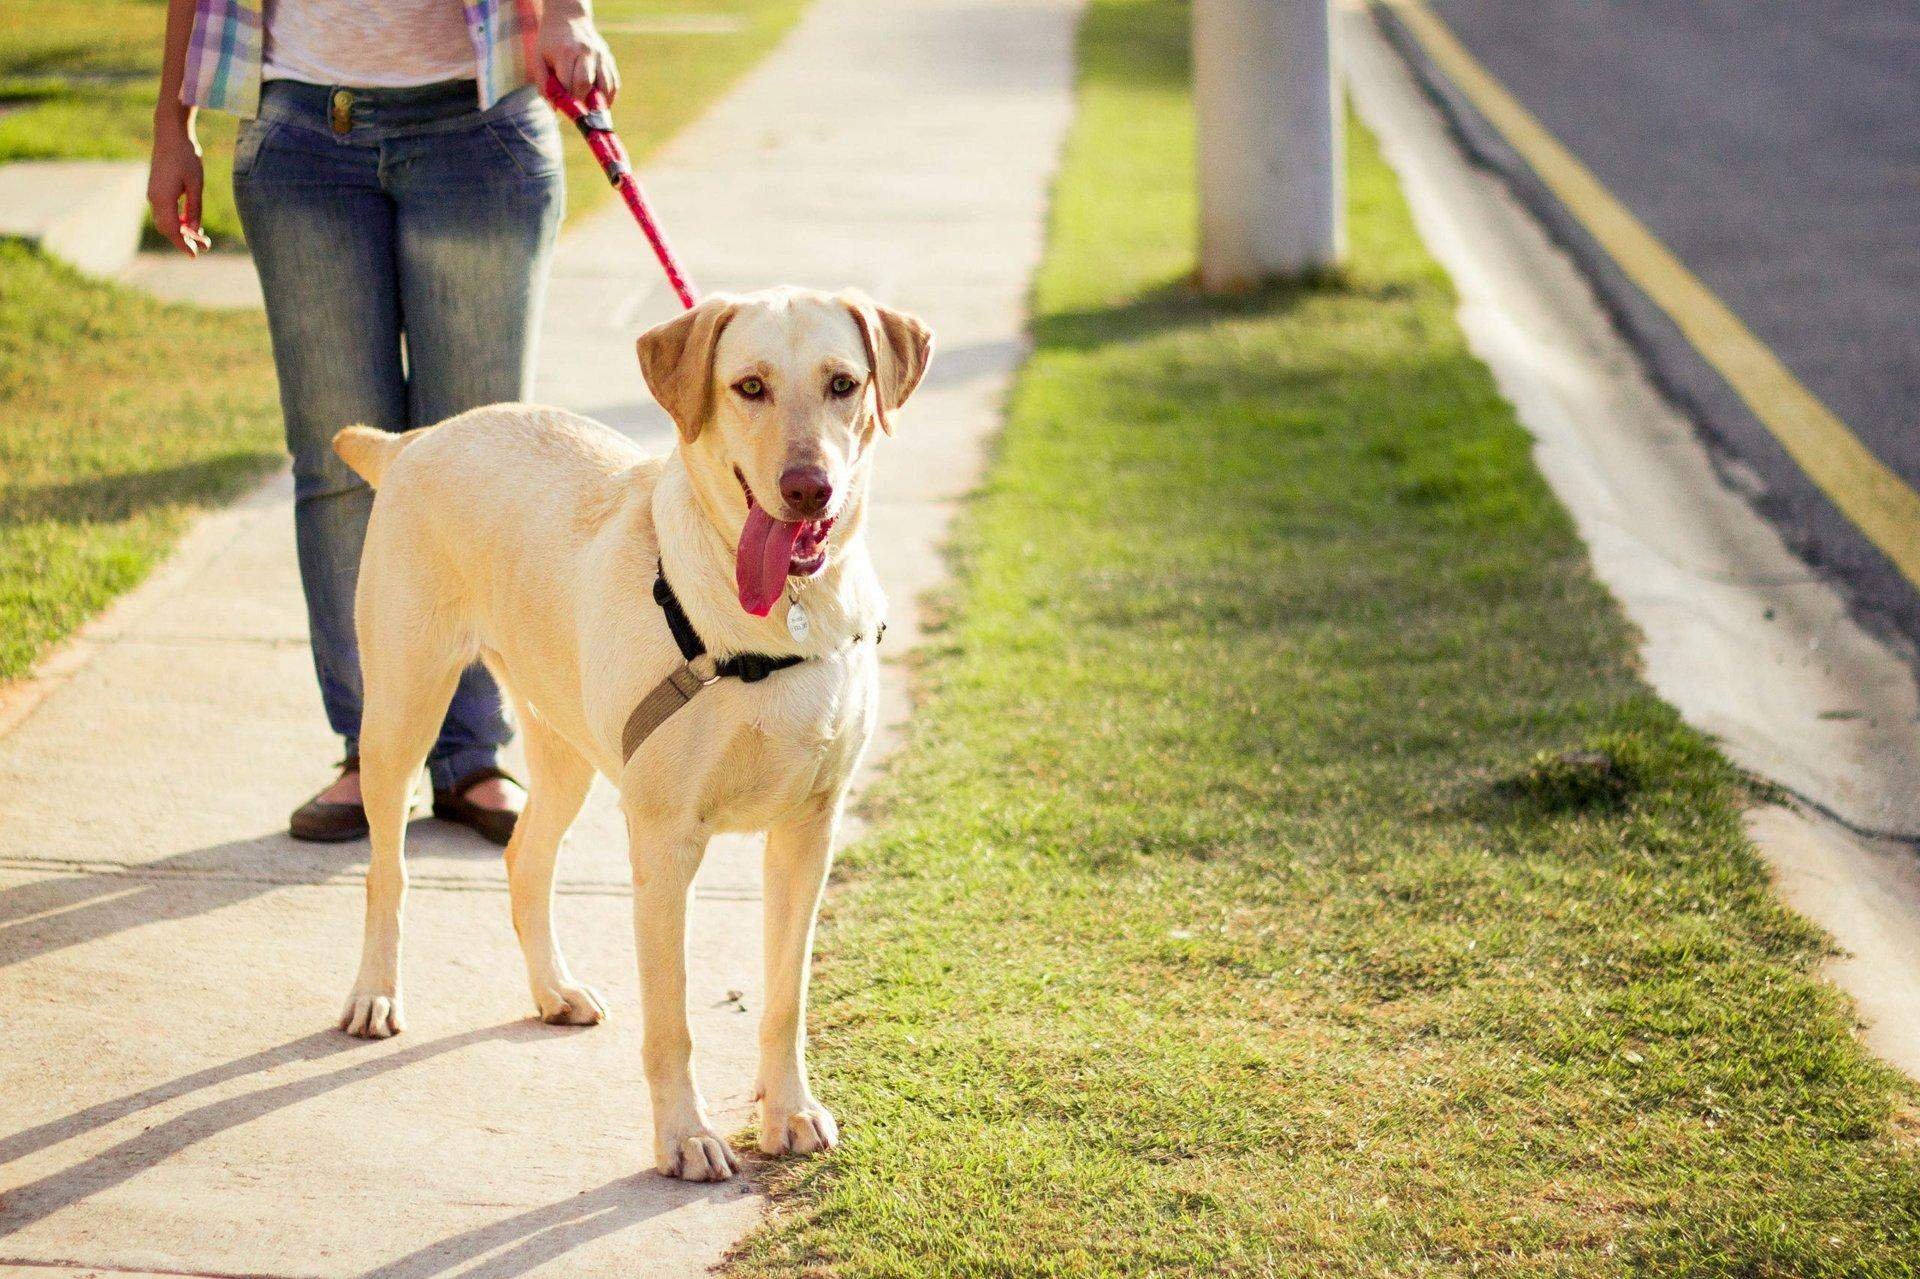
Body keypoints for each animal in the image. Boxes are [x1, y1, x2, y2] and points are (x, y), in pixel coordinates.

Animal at [328, 286, 929, 1175]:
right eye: (749, 386)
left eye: (844, 383)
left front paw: (789, 1110)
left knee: (524, 857)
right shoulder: (665, 837)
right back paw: (374, 991)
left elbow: (786, 995)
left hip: (565, 742)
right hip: (402, 709)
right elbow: (671, 1017)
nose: (807, 489)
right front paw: (684, 1136)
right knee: (386, 870)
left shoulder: (809, 830)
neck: (781, 615)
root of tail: (416, 439)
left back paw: (554, 988)